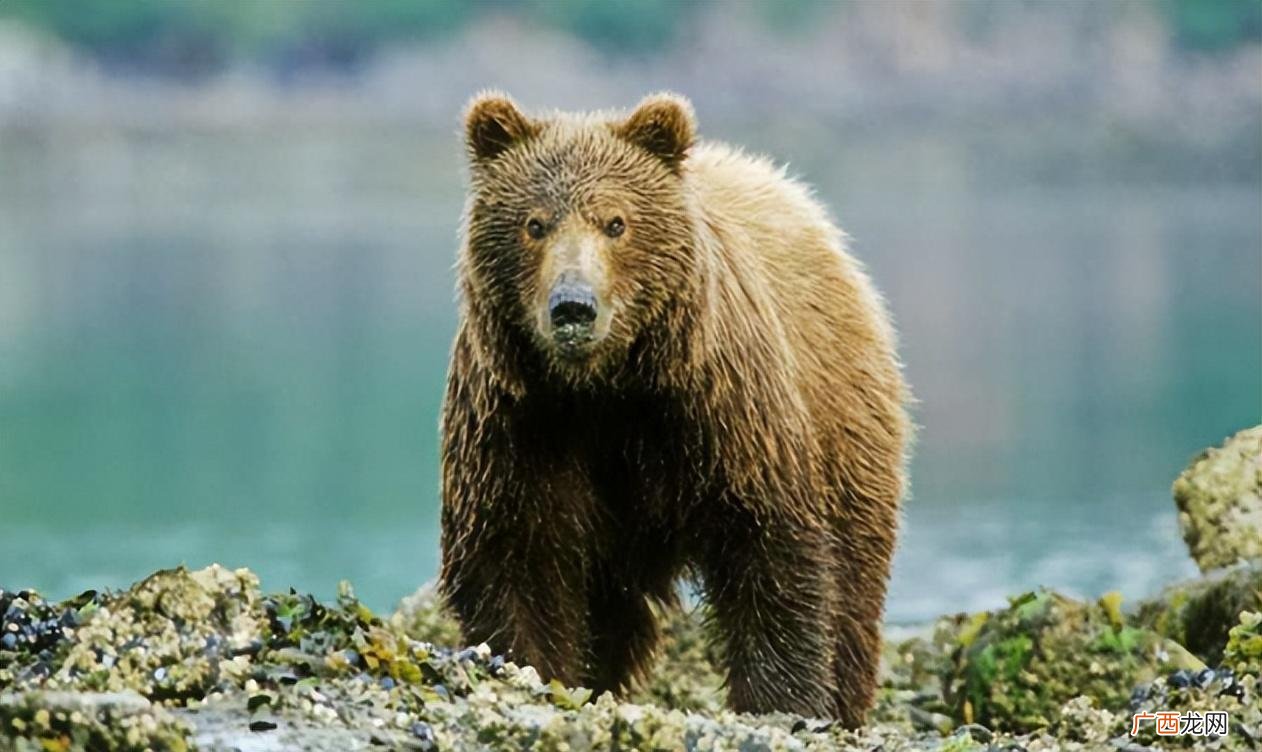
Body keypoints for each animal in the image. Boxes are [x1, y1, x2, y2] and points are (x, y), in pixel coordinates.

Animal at [439, 91, 909, 727]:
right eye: (534, 223)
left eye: (616, 222)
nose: (573, 306)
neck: (607, 389)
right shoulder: (522, 422)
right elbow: (516, 554)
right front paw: (529, 667)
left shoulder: (723, 409)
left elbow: (771, 549)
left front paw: (782, 700)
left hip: (846, 422)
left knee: (855, 576)